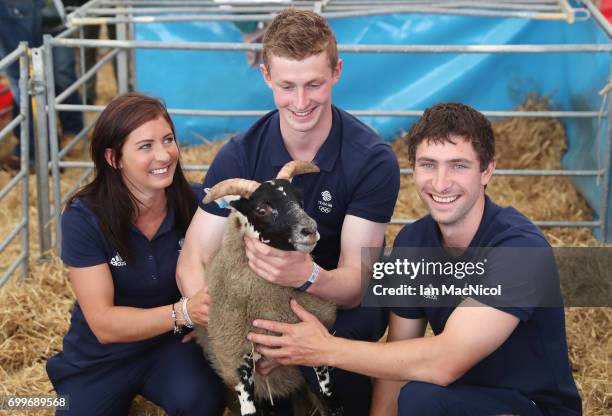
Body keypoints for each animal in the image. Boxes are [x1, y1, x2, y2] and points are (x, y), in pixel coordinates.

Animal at [195, 162, 342, 416]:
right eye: (262, 209)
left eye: (299, 200)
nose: (310, 230)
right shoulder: (237, 358)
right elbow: (250, 410)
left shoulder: (313, 339)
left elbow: (328, 395)